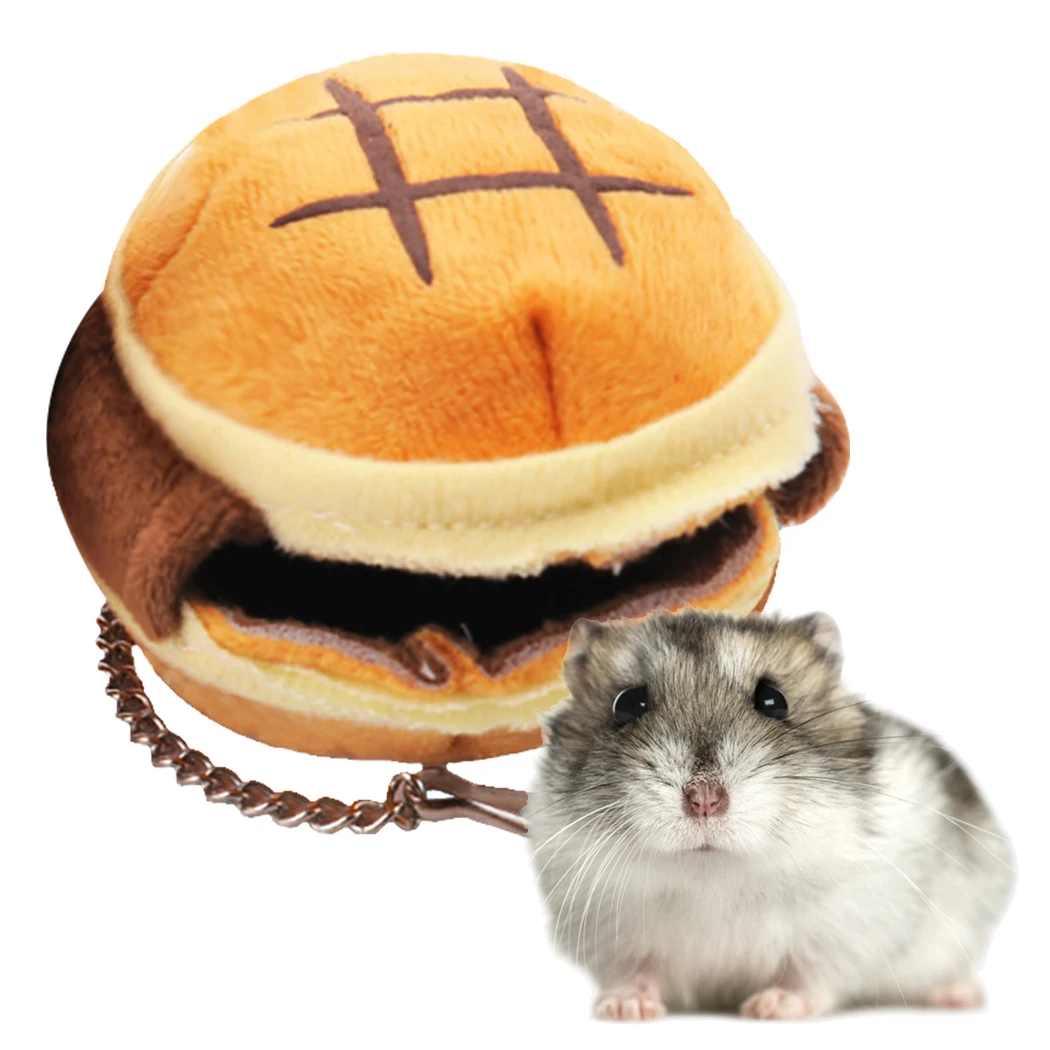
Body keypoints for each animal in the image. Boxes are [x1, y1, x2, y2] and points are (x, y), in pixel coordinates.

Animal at [527, 609, 1013, 1020]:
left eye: (774, 700)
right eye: (627, 704)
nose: (704, 800)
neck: (713, 876)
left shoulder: (844, 931)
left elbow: (809, 974)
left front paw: (771, 1007)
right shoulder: (611, 933)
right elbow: (633, 971)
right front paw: (624, 1009)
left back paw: (958, 997)